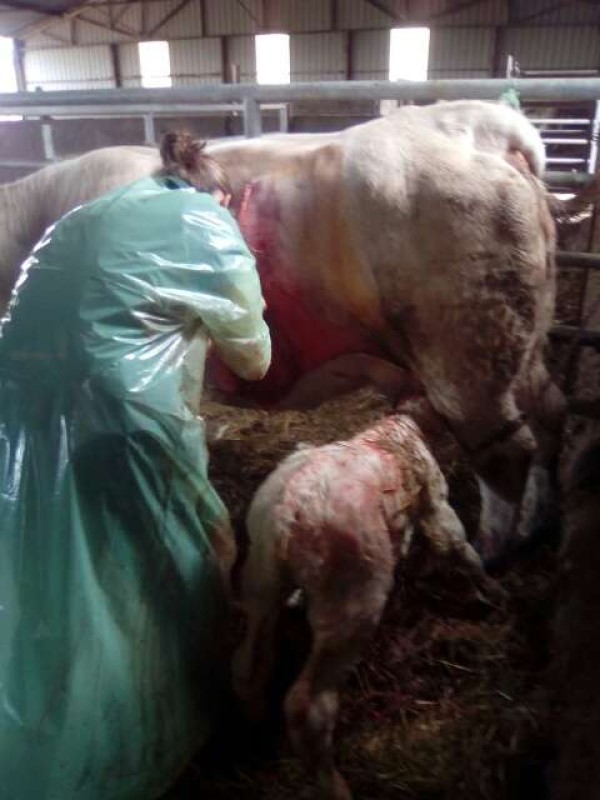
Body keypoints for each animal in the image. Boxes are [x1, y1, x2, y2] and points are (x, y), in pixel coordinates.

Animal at [0, 100, 566, 561]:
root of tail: (484, 129)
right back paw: (534, 528)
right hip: (523, 345)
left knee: (507, 454)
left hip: (466, 358)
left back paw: (491, 551)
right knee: (548, 415)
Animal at [232, 403, 505, 800]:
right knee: (307, 704)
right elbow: (457, 546)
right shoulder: (436, 503)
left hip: (261, 579)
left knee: (249, 662)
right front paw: (494, 589)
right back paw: (334, 784)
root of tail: (288, 511)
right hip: (352, 595)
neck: (394, 430)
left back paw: (254, 715)